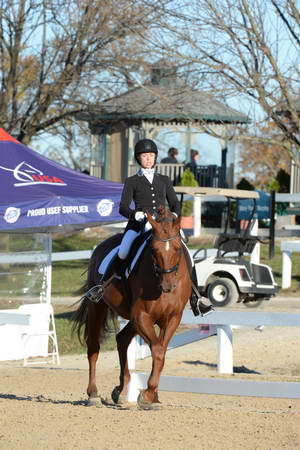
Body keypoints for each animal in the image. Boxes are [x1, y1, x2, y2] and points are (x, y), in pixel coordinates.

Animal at [71, 207, 191, 408]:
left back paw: (120, 390)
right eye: (154, 249)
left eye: (177, 248)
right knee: (94, 347)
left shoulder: (172, 318)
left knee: (122, 339)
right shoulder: (142, 315)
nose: (168, 286)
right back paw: (93, 394)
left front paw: (153, 396)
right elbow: (157, 351)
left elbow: (161, 352)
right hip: (99, 307)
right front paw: (148, 395)